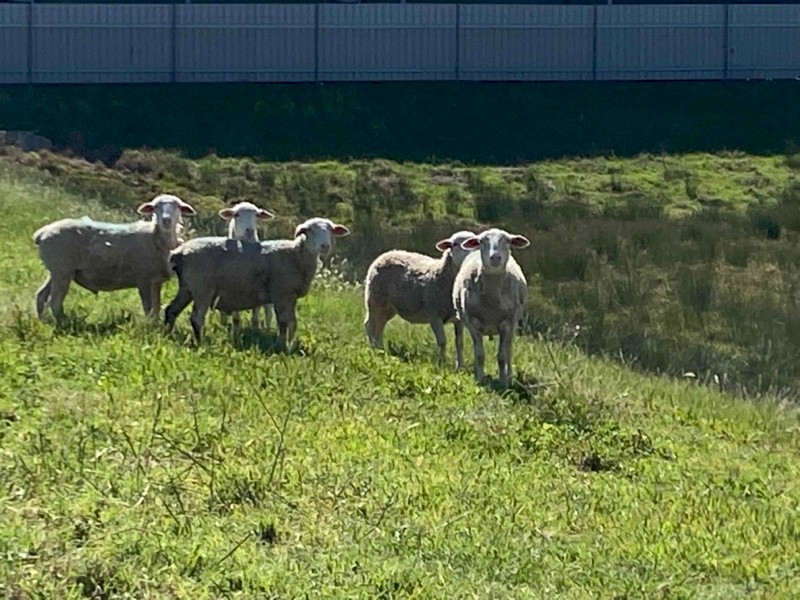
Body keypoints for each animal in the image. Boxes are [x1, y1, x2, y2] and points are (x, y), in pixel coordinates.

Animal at [32, 194, 196, 322]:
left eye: (177, 206)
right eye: (155, 207)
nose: (166, 220)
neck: (156, 238)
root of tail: (42, 233)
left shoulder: (156, 282)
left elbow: (155, 309)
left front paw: (155, 327)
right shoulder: (143, 280)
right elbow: (148, 309)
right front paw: (149, 327)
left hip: (56, 271)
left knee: (41, 295)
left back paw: (44, 320)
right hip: (62, 270)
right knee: (55, 301)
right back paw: (64, 322)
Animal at [164, 217, 350, 349]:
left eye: (331, 230)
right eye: (309, 230)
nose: (325, 246)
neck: (296, 255)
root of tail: (180, 252)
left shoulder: (290, 296)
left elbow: (293, 322)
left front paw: (290, 344)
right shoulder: (280, 293)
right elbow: (283, 322)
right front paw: (282, 346)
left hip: (187, 287)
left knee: (171, 310)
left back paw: (166, 334)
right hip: (202, 287)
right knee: (196, 317)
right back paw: (200, 342)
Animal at [218, 201, 276, 330]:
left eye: (257, 215)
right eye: (236, 215)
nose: (250, 231)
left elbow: (255, 316)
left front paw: (255, 329)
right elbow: (235, 317)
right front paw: (236, 329)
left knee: (268, 313)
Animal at [363, 230, 476, 367]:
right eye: (454, 244)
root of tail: (387, 253)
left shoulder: (458, 319)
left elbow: (459, 343)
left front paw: (460, 366)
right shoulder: (434, 316)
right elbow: (442, 341)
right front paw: (442, 363)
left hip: (388, 307)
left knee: (379, 326)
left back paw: (380, 350)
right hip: (375, 300)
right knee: (370, 325)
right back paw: (376, 350)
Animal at [452, 228, 531, 388]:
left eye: (508, 241)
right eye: (482, 241)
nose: (495, 257)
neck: (491, 304)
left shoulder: (507, 324)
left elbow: (502, 357)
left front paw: (503, 382)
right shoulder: (473, 323)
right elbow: (480, 355)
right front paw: (480, 379)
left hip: (513, 324)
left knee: (509, 349)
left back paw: (510, 374)